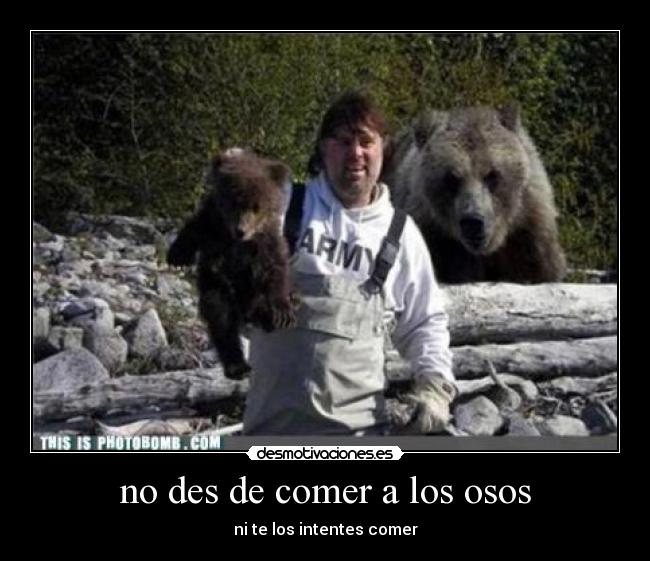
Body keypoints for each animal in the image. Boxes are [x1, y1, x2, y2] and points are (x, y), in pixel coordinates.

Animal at [167, 149, 298, 380]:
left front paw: (283, 311)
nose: (241, 230)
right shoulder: (212, 223)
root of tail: (246, 312)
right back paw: (238, 366)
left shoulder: (266, 241)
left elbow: (275, 267)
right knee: (222, 319)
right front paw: (177, 256)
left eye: (257, 207)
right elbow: (193, 229)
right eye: (233, 203)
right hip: (219, 288)